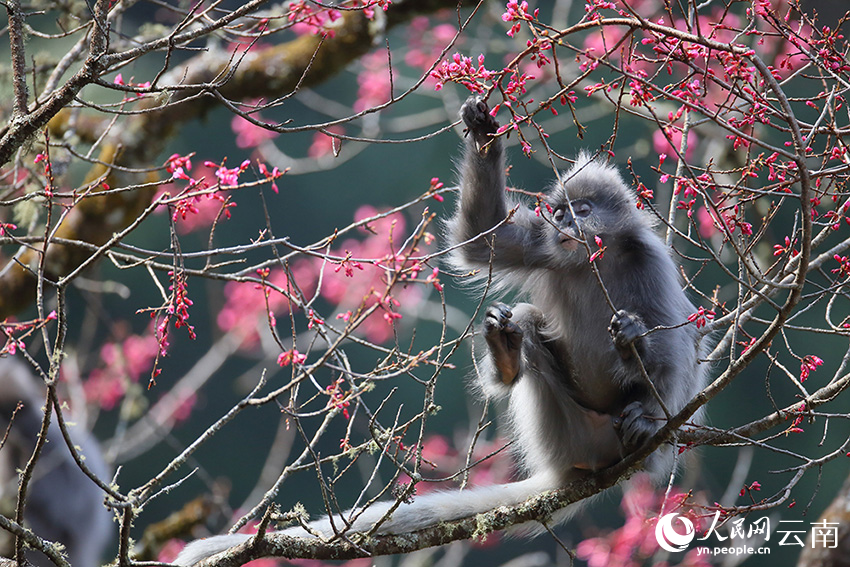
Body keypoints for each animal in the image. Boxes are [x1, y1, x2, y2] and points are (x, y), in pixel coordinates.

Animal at [173, 97, 705, 566]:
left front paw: (634, 344)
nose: (564, 222)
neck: (592, 258)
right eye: (558, 212)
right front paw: (484, 132)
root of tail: (585, 463)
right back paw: (507, 354)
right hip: (569, 433)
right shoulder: (545, 244)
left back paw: (641, 417)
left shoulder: (649, 261)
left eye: (584, 209)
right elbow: (483, 239)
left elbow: (680, 347)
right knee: (527, 318)